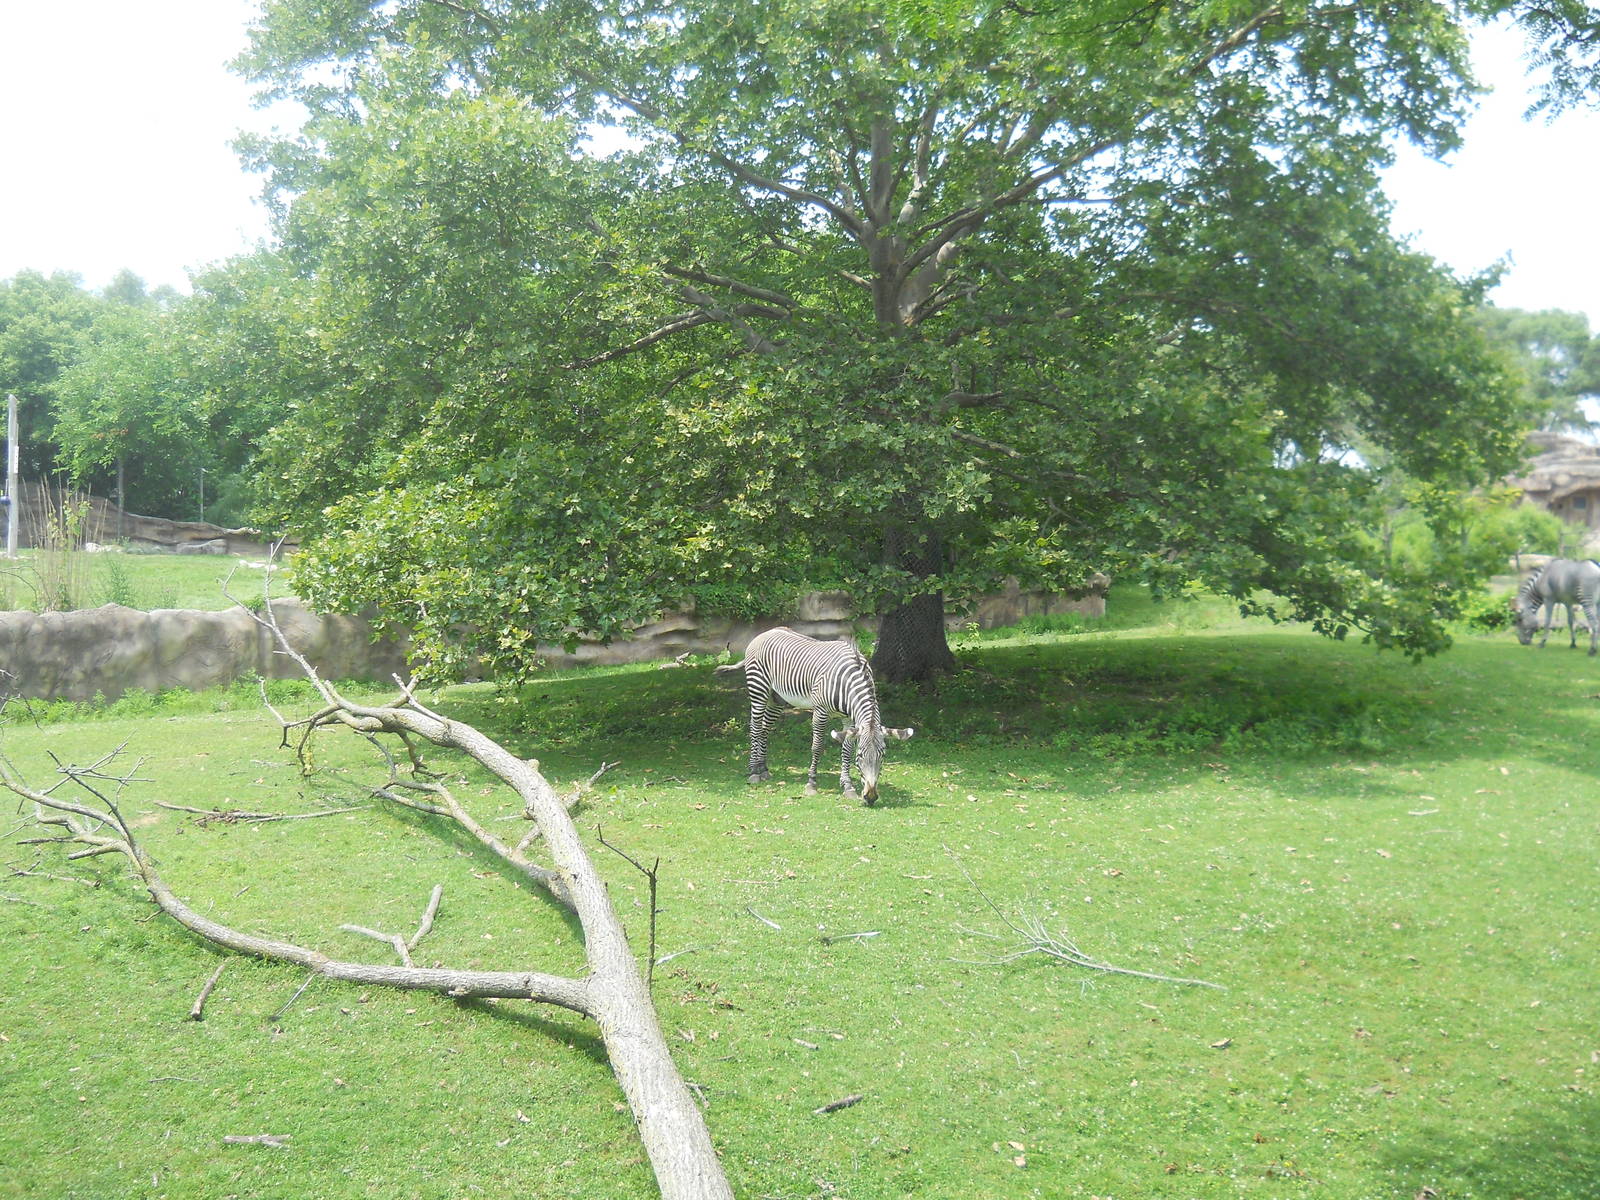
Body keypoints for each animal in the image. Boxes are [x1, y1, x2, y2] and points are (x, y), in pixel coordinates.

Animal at [716, 627, 913, 805]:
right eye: (861, 756)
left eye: (883, 756)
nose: (871, 798)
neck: (850, 681)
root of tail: (763, 633)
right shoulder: (820, 712)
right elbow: (817, 747)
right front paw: (811, 784)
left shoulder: (849, 720)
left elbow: (846, 749)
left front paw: (848, 786)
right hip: (758, 690)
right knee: (755, 728)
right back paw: (753, 772)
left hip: (777, 698)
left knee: (765, 729)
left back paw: (762, 768)